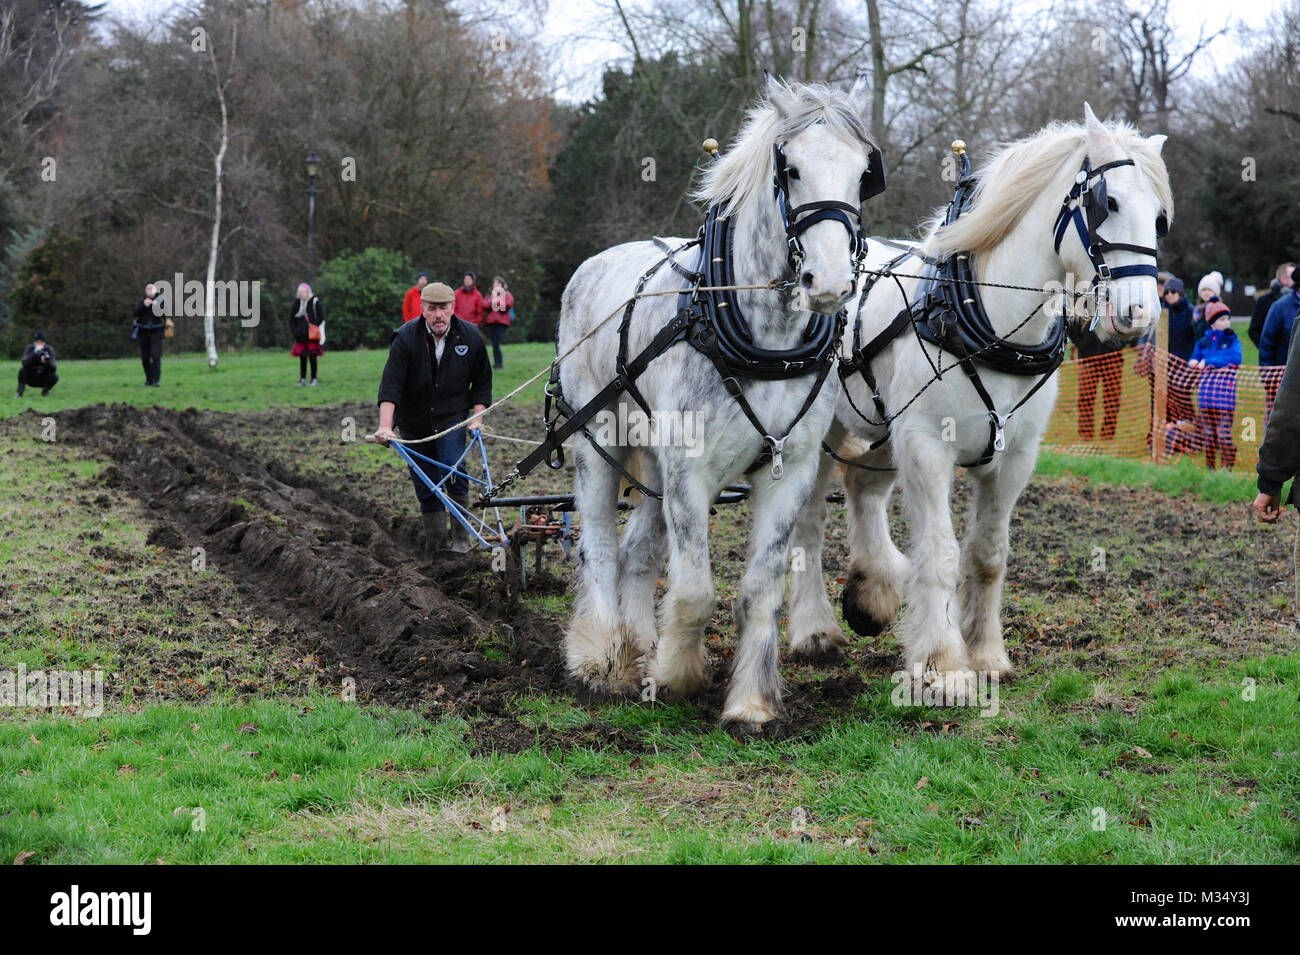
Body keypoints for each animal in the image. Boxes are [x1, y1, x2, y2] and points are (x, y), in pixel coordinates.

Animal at [556, 76, 883, 732]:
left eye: (863, 173)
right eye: (791, 169)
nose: (831, 282)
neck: (765, 338)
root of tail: (593, 263)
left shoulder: (790, 467)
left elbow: (760, 588)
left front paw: (750, 703)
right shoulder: (691, 471)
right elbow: (694, 588)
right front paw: (676, 676)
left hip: (653, 461)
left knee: (637, 552)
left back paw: (634, 649)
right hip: (594, 442)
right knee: (597, 544)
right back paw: (600, 658)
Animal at [785, 106, 1175, 701]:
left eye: (1159, 217)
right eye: (1105, 203)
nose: (1139, 314)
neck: (990, 322)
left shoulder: (1014, 457)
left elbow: (988, 555)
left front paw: (987, 655)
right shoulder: (926, 445)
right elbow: (941, 555)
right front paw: (943, 665)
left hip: (884, 428)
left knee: (864, 487)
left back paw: (872, 594)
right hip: (823, 428)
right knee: (808, 517)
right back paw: (815, 631)